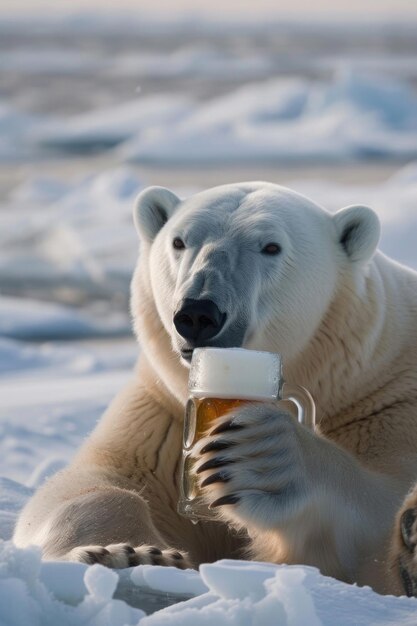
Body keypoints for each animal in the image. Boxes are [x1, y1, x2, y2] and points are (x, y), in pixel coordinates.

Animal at [13, 182, 416, 596]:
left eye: (271, 246)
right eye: (179, 241)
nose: (198, 313)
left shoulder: (388, 401)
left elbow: (376, 511)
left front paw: (261, 455)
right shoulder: (162, 414)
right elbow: (89, 484)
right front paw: (128, 555)